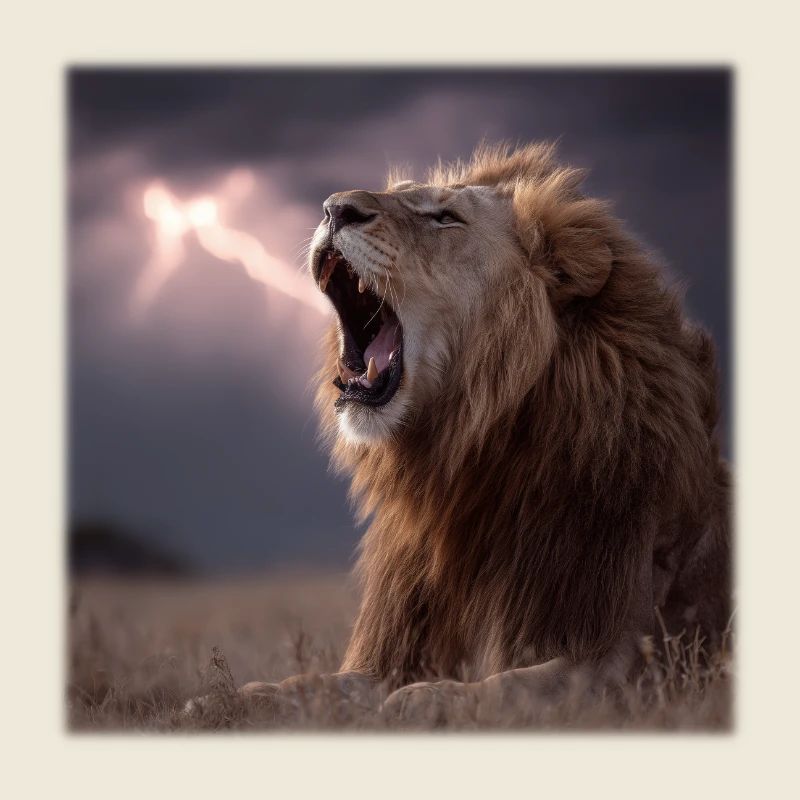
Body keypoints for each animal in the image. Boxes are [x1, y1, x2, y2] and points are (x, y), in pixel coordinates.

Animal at [239, 142, 731, 725]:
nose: (335, 208)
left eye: (446, 218)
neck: (461, 469)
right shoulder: (398, 652)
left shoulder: (626, 660)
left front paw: (427, 700)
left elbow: (511, 686)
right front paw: (236, 698)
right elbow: (318, 684)